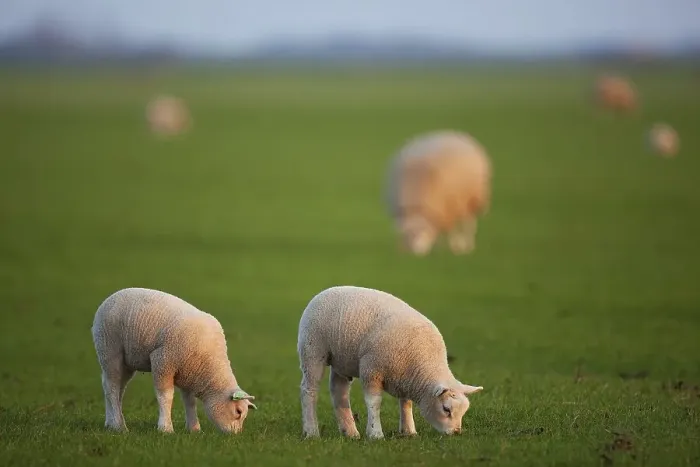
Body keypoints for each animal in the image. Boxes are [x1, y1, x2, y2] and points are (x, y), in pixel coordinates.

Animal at [91, 287, 257, 434]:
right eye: (238, 411)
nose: (235, 435)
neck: (209, 365)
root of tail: (111, 297)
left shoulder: (189, 373)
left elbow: (190, 402)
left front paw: (194, 429)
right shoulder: (163, 360)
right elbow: (166, 397)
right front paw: (165, 428)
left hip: (126, 362)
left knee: (117, 387)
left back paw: (110, 422)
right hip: (109, 349)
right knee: (111, 387)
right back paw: (119, 426)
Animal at [297, 285, 483, 439]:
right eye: (446, 409)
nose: (456, 433)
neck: (424, 362)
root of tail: (325, 291)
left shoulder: (406, 377)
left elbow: (406, 403)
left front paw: (409, 431)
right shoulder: (371, 369)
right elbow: (374, 402)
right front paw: (375, 434)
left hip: (342, 360)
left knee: (339, 391)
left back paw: (350, 432)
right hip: (312, 350)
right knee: (309, 390)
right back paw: (312, 432)